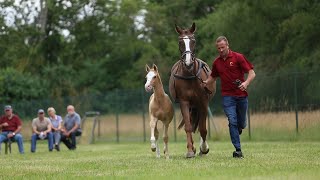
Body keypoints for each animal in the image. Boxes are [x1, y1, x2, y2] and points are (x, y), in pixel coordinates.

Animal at [169, 22, 216, 158]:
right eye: (180, 42)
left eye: (193, 41)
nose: (188, 62)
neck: (189, 74)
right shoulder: (184, 102)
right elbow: (189, 127)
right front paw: (190, 150)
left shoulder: (203, 102)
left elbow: (203, 128)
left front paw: (204, 148)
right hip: (192, 106)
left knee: (201, 124)